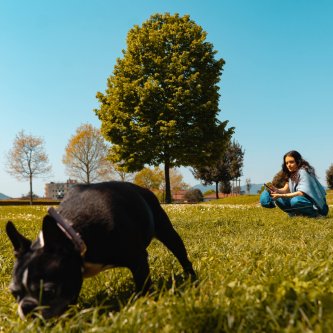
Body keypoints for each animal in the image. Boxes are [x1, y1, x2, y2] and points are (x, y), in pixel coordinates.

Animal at [5, 180, 195, 318]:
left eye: (49, 292)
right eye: (14, 293)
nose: (27, 308)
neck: (72, 233)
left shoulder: (138, 259)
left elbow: (143, 285)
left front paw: (144, 304)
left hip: (167, 231)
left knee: (182, 255)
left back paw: (192, 278)